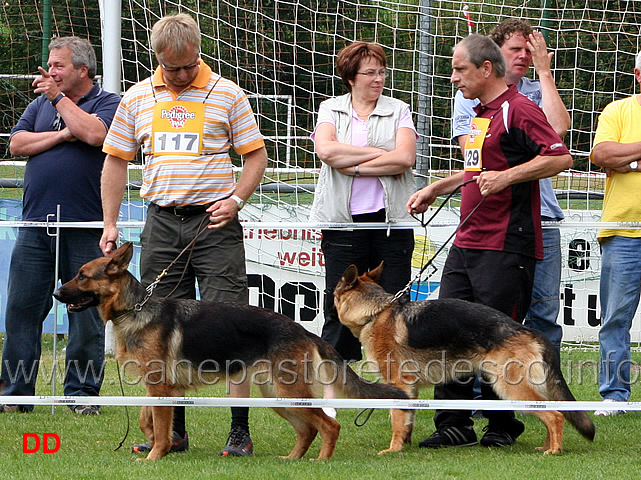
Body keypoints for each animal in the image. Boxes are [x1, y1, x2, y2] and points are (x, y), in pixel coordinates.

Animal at [53, 244, 404, 462]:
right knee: (307, 429)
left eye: (82, 275)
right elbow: (147, 418)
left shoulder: (160, 387)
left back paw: (321, 461)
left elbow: (160, 426)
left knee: (329, 425)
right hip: (276, 395)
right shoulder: (162, 389)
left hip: (289, 392)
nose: (56, 293)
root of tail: (304, 330)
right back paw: (292, 459)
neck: (135, 309)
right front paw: (154, 441)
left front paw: (155, 455)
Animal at [336, 264, 596, 456]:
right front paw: (405, 444)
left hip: (510, 389)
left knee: (556, 415)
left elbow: (397, 419)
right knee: (553, 411)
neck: (376, 313)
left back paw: (554, 450)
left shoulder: (399, 383)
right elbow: (407, 417)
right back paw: (547, 445)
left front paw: (393, 449)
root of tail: (528, 331)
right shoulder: (409, 388)